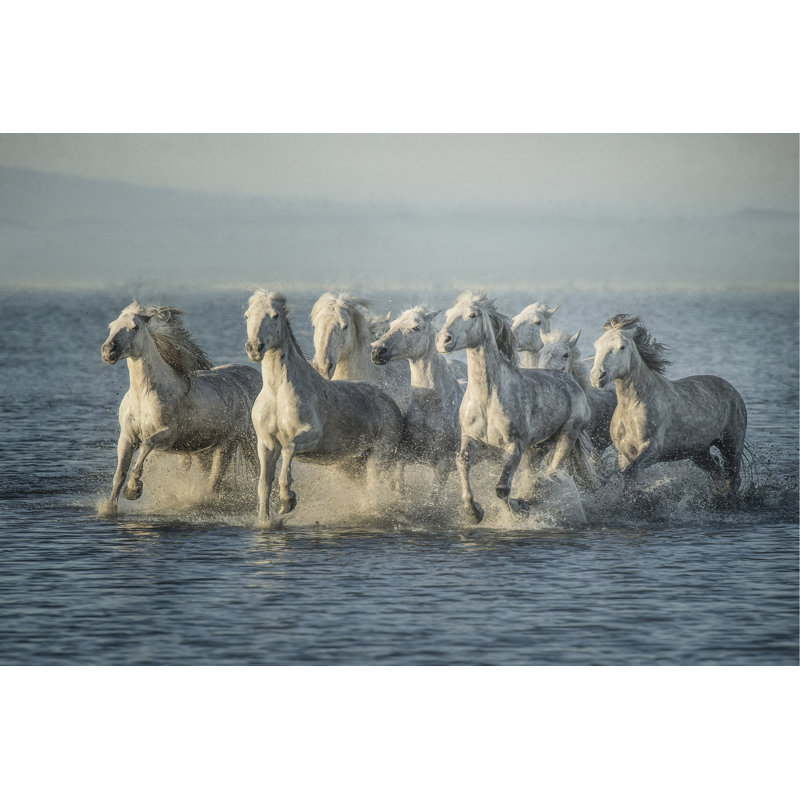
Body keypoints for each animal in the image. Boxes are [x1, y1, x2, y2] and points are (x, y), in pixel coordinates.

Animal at [99, 302, 261, 515]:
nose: (108, 351)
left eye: (135, 327)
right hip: (205, 450)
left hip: (235, 443)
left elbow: (147, 445)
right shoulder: (127, 436)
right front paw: (109, 507)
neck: (143, 395)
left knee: (224, 480)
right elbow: (120, 473)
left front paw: (133, 490)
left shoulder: (168, 435)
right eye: (111, 326)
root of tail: (256, 378)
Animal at [245, 290, 404, 526]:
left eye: (274, 315)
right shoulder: (266, 444)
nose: (255, 348)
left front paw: (287, 501)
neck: (278, 393)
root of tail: (390, 401)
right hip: (352, 464)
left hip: (379, 458)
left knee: (375, 489)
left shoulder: (310, 436)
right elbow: (264, 484)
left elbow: (288, 449)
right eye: (247, 315)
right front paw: (265, 521)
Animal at [370, 306, 465, 497]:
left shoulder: (443, 466)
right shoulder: (403, 455)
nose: (377, 351)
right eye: (392, 324)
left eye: (416, 327)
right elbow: (399, 483)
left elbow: (433, 497)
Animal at [436, 292, 593, 523]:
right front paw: (473, 512)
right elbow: (462, 463)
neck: (487, 399)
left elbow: (502, 488)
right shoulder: (471, 438)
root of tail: (568, 379)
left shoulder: (514, 447)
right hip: (537, 447)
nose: (442, 341)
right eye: (448, 314)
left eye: (473, 315)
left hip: (568, 434)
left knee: (550, 471)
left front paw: (518, 508)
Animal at [590, 314, 747, 496]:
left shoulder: (652, 448)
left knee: (732, 478)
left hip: (731, 445)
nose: (597, 377)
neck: (632, 407)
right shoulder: (624, 454)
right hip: (698, 452)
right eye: (597, 345)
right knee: (718, 473)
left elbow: (631, 473)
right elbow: (627, 477)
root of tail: (733, 391)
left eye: (622, 347)